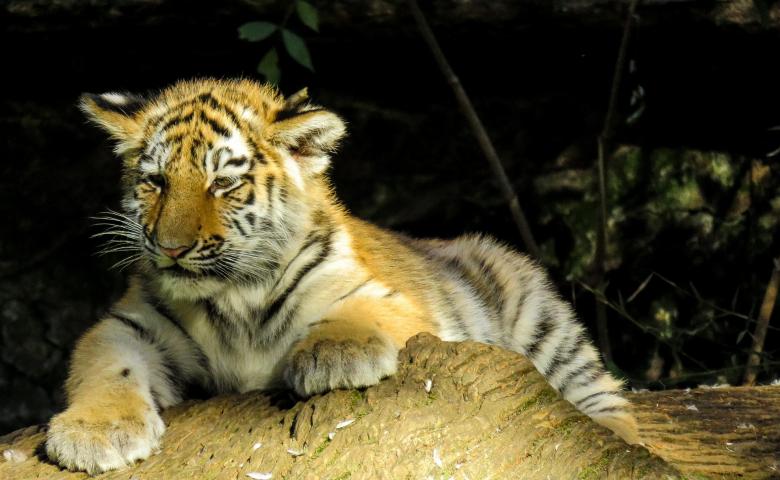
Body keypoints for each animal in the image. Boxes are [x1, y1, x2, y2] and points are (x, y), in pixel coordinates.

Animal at [44, 78, 639, 474]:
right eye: (156, 182)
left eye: (222, 184)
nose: (171, 247)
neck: (234, 295)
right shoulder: (131, 324)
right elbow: (107, 366)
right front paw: (94, 434)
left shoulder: (383, 296)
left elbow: (356, 314)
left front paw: (335, 356)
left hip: (535, 309)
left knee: (605, 398)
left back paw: (610, 439)